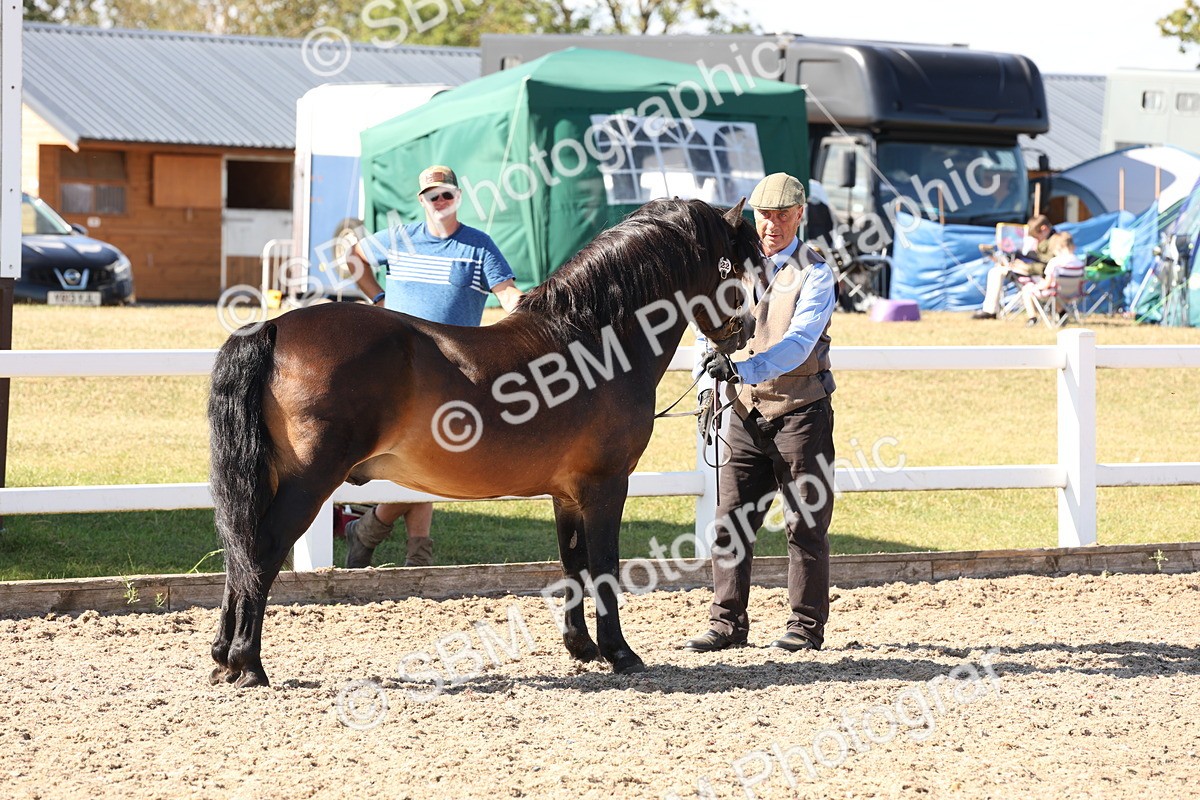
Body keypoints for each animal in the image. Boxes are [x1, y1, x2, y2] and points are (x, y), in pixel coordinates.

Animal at [207, 197, 762, 688]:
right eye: (737, 267)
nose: (746, 332)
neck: (595, 340)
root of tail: (272, 326)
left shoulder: (567, 494)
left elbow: (573, 563)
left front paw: (581, 647)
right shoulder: (606, 486)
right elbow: (605, 566)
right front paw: (621, 653)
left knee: (240, 552)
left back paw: (222, 660)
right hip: (308, 484)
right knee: (260, 550)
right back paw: (248, 663)